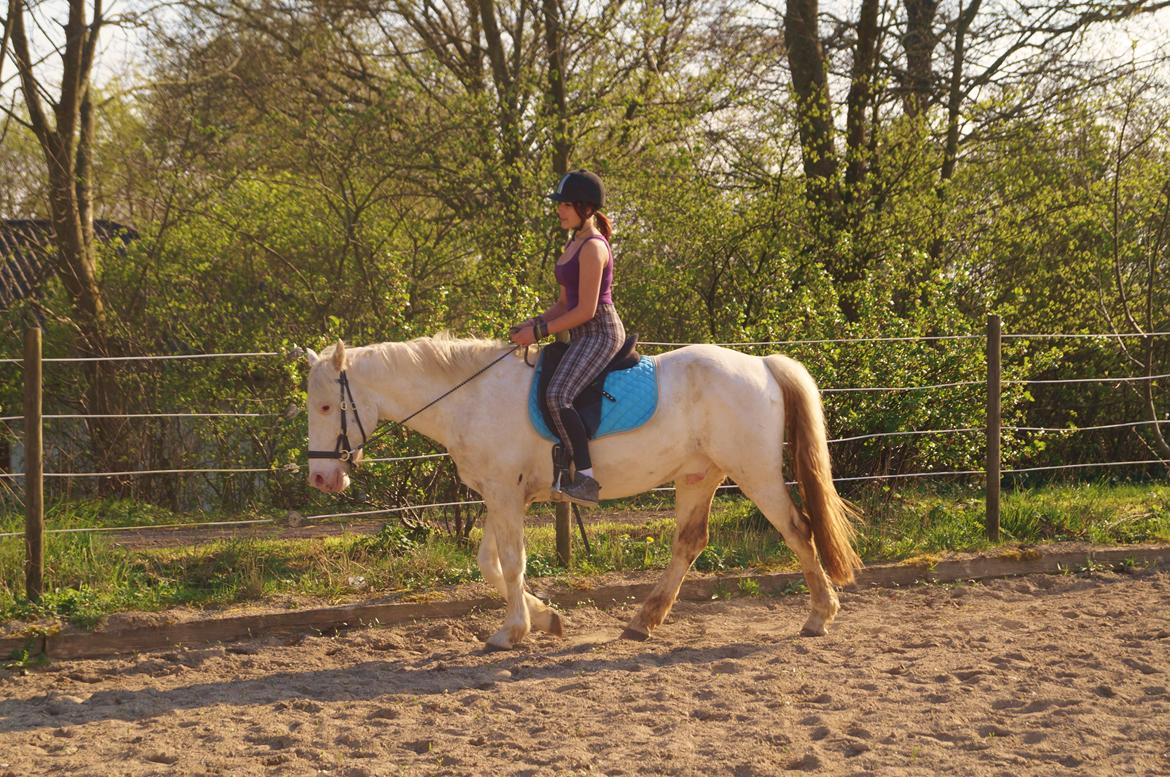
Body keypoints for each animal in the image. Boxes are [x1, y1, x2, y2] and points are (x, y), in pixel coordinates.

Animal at [306, 334, 865, 650]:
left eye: (327, 407)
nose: (320, 480)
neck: (472, 395)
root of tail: (762, 364)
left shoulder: (504, 494)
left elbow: (511, 563)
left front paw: (511, 632)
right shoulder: (501, 494)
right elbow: (491, 563)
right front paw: (546, 619)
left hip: (755, 473)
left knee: (797, 530)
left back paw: (819, 616)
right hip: (697, 476)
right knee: (689, 543)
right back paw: (642, 621)